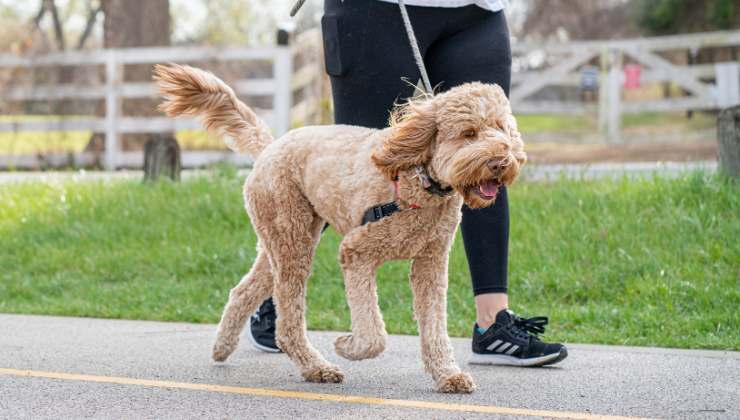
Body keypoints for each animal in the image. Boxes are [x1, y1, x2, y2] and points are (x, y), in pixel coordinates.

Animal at [155, 63, 528, 394]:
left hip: (284, 240)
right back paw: (316, 367)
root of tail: (270, 148)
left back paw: (222, 347)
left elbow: (435, 327)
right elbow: (373, 335)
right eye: (469, 133)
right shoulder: (356, 252)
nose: (501, 162)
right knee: (288, 322)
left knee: (243, 292)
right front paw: (348, 345)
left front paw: (447, 375)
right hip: (292, 240)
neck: (419, 180)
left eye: (501, 128)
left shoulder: (430, 263)